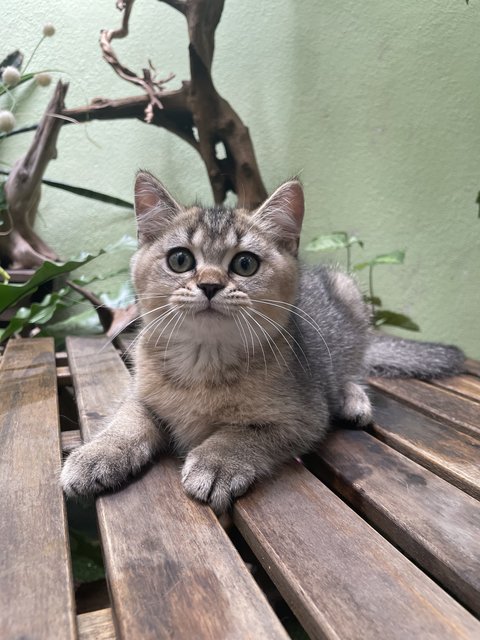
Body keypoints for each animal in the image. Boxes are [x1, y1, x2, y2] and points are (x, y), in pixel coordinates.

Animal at [61, 172, 464, 512]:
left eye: (245, 264)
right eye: (179, 259)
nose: (210, 285)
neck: (203, 363)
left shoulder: (305, 416)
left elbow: (244, 434)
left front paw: (217, 461)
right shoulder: (139, 392)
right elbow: (127, 419)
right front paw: (97, 454)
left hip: (348, 293)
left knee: (353, 370)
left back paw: (352, 398)